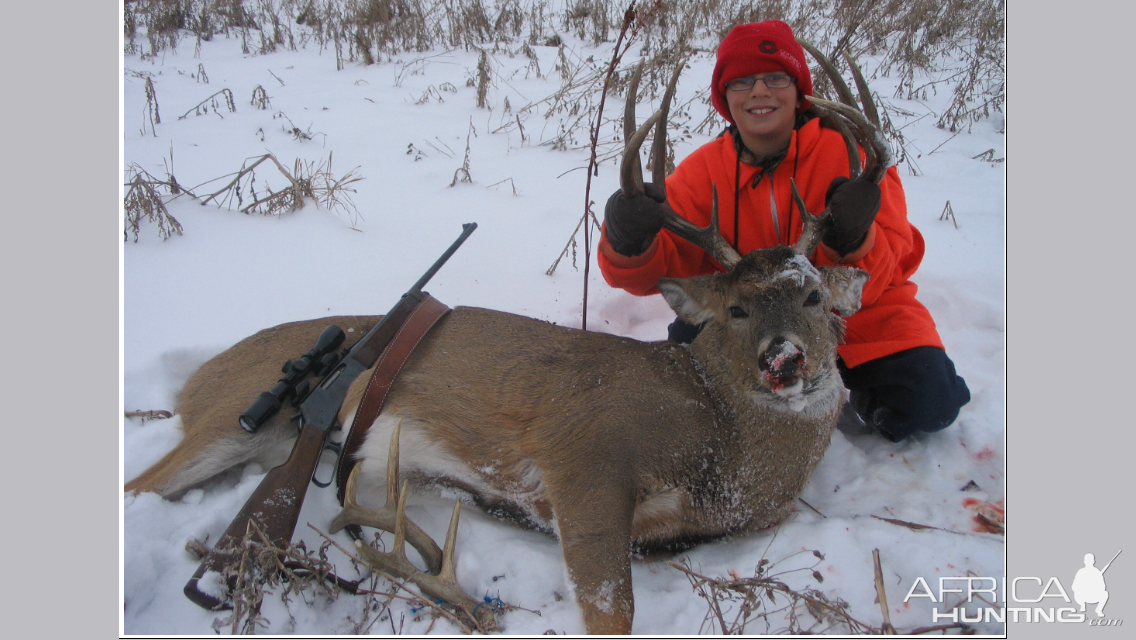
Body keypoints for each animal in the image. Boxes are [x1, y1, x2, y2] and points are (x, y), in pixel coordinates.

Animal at [126, 45, 886, 636]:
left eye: (814, 295)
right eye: (735, 309)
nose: (785, 359)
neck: (723, 447)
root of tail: (195, 380)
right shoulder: (585, 448)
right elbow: (611, 608)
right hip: (226, 418)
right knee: (140, 488)